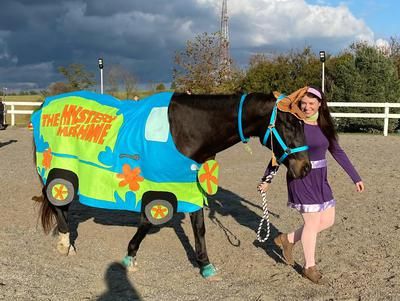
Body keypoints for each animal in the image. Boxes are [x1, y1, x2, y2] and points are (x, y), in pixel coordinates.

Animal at [32, 91, 310, 278]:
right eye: (288, 123)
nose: (305, 168)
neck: (187, 130)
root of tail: (42, 106)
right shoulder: (159, 185)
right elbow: (147, 221)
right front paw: (129, 257)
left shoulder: (190, 185)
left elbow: (199, 227)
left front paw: (205, 265)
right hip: (60, 170)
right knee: (57, 201)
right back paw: (65, 242)